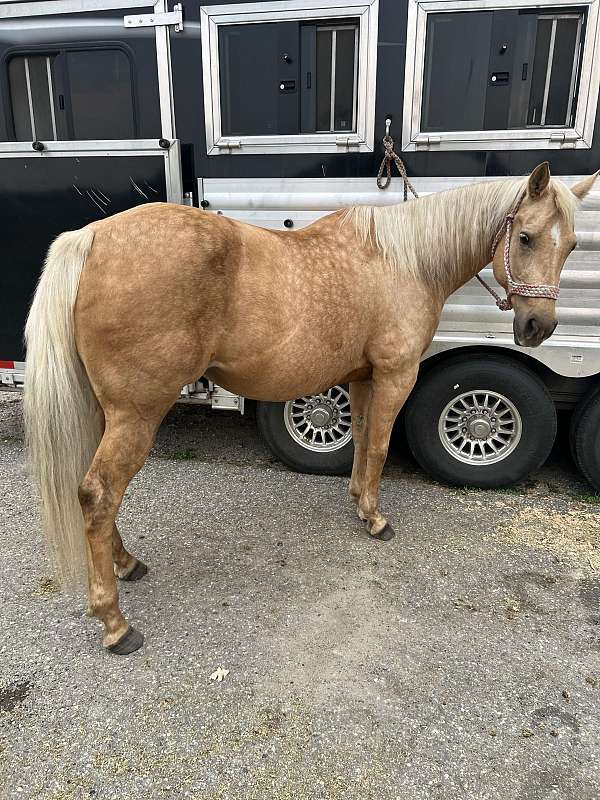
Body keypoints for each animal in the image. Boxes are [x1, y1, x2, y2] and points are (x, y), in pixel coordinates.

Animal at [23, 159, 596, 652]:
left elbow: (362, 439)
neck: (404, 261)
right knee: (98, 494)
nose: (537, 328)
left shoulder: (363, 379)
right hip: (138, 414)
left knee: (94, 491)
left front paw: (358, 501)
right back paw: (116, 624)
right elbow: (381, 445)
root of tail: (93, 237)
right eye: (524, 237)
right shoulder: (396, 375)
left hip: (108, 413)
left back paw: (127, 564)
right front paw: (376, 520)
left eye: (571, 245)